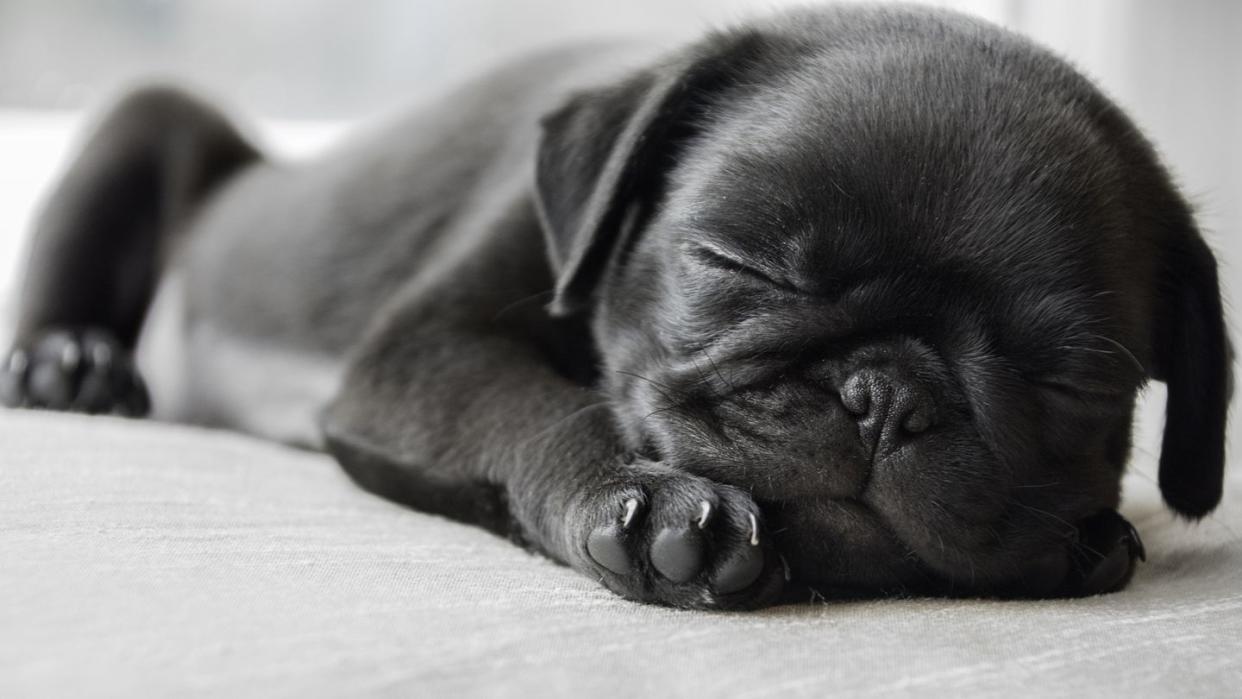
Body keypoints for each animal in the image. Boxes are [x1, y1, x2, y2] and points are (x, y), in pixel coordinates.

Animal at [0, 5, 1227, 610]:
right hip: (150, 119)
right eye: (741, 265)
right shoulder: (424, 354)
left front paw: (1087, 538)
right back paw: (69, 366)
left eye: (1071, 381)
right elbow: (547, 407)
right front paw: (644, 503)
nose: (886, 394)